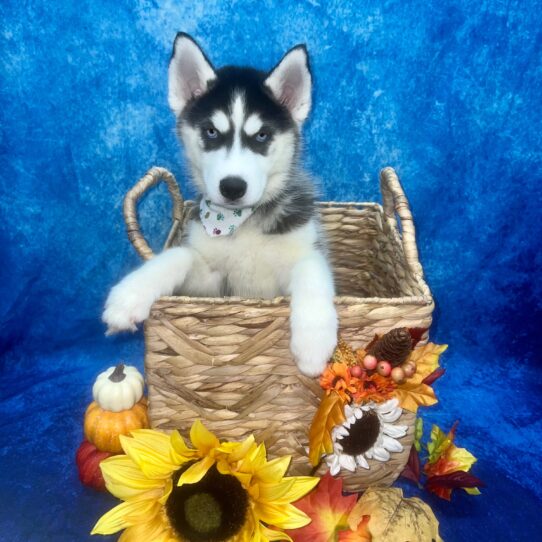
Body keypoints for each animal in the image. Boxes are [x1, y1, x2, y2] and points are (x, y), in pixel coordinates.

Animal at [103, 34, 338, 378]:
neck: (242, 221)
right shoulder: (212, 287)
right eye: (211, 131)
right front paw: (130, 294)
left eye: (262, 135)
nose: (233, 187)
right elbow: (180, 254)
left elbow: (311, 269)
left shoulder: (302, 250)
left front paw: (314, 342)